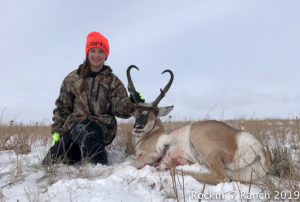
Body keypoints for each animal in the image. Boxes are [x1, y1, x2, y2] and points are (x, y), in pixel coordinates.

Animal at [126, 65, 270, 185]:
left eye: (155, 112)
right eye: (135, 110)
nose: (138, 127)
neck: (153, 134)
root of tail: (257, 146)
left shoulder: (151, 154)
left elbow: (124, 165)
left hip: (201, 142)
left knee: (220, 178)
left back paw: (169, 169)